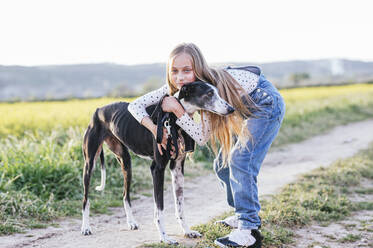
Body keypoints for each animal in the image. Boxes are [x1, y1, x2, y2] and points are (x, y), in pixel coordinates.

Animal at [80, 81, 232, 244]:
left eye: (217, 92)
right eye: (209, 93)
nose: (231, 109)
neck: (172, 119)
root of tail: (98, 110)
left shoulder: (177, 168)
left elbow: (180, 206)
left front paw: (187, 231)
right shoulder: (157, 169)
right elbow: (160, 208)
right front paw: (165, 237)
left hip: (126, 163)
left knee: (125, 195)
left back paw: (131, 222)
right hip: (89, 164)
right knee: (86, 199)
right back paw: (86, 227)